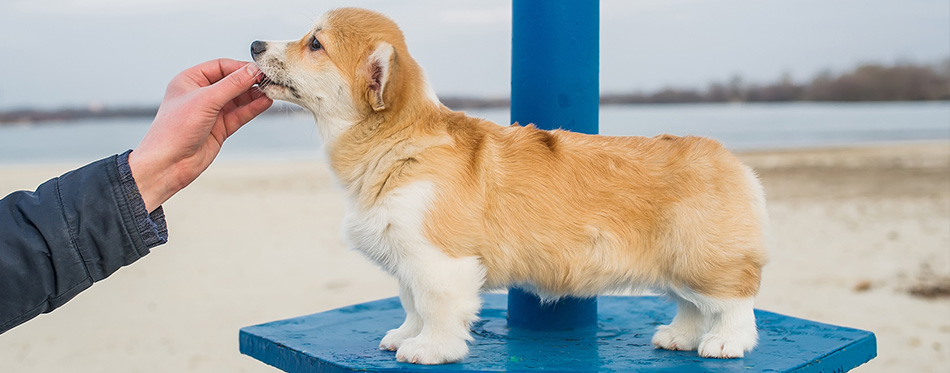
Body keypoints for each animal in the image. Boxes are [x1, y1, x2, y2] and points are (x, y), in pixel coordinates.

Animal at [251, 7, 768, 364]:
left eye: (315, 44)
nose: (254, 44)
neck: (397, 140)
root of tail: (729, 160)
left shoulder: (439, 260)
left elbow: (435, 308)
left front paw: (428, 349)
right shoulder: (407, 257)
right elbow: (411, 303)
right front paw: (404, 335)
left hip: (705, 261)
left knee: (735, 304)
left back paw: (725, 342)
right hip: (678, 265)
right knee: (691, 306)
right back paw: (679, 336)